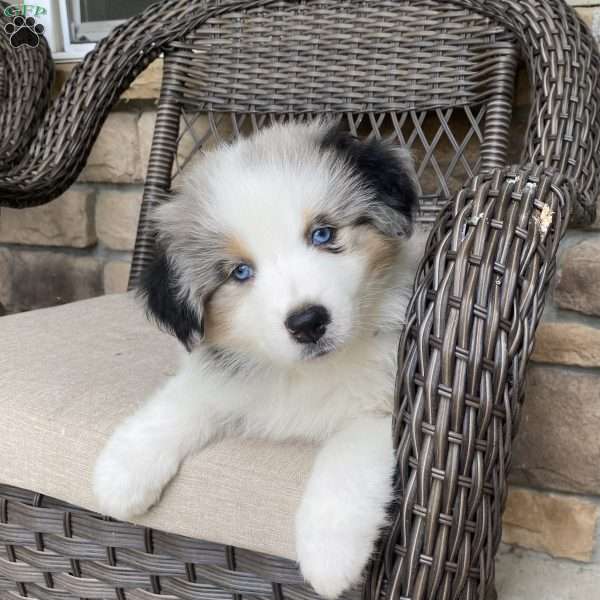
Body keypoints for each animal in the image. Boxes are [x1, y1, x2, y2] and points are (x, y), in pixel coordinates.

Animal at [92, 119, 422, 596]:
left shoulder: (386, 403)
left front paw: (329, 556)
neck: (304, 372)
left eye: (323, 234)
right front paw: (121, 474)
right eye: (240, 272)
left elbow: (345, 458)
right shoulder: (221, 371)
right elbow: (178, 403)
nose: (308, 322)